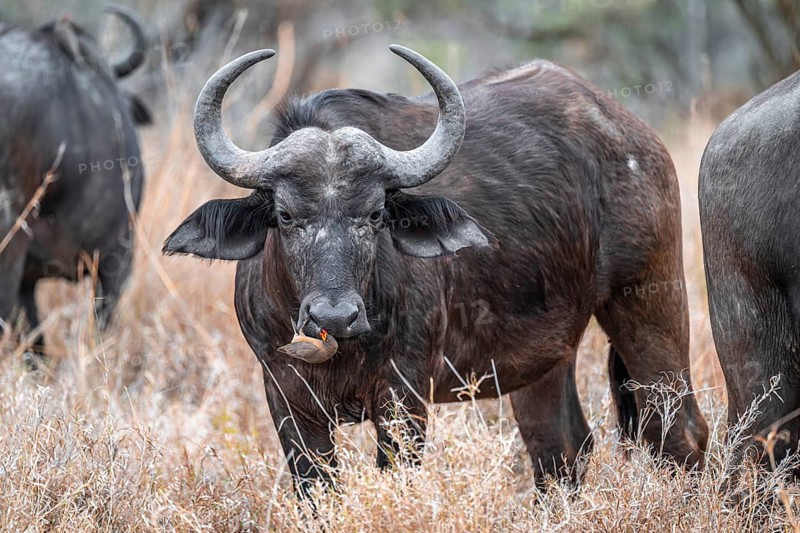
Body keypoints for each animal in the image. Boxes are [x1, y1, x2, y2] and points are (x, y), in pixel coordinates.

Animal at [165, 45, 709, 495]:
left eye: (376, 213)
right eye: (284, 214)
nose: (334, 316)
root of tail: (634, 139)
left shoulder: (403, 398)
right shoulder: (285, 398)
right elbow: (317, 492)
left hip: (649, 303)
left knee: (679, 432)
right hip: (545, 357)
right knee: (560, 449)